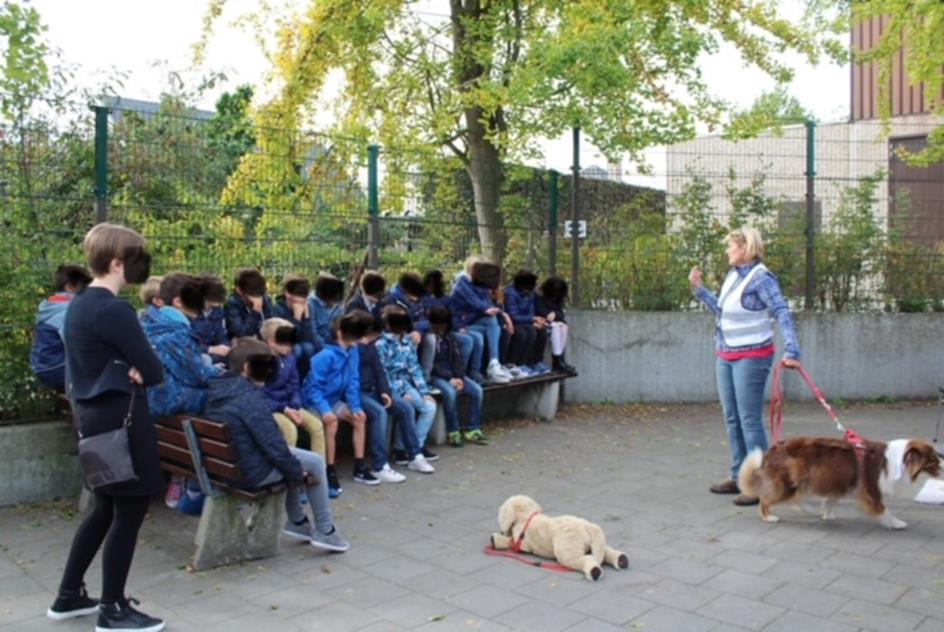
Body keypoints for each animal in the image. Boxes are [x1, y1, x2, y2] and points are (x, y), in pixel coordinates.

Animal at [490, 495, 628, 580]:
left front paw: (495, 539)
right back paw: (621, 560)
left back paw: (595, 572)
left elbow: (510, 542)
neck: (527, 516)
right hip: (595, 543)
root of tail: (587, 526)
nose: (501, 531)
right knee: (606, 552)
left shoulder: (521, 543)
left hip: (568, 552)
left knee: (586, 560)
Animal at [738, 437, 941, 529]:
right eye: (933, 458)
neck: (895, 461)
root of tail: (771, 450)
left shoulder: (839, 485)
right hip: (787, 486)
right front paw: (897, 523)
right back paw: (768, 517)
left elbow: (830, 502)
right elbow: (884, 510)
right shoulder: (871, 491)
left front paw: (827, 515)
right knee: (765, 499)